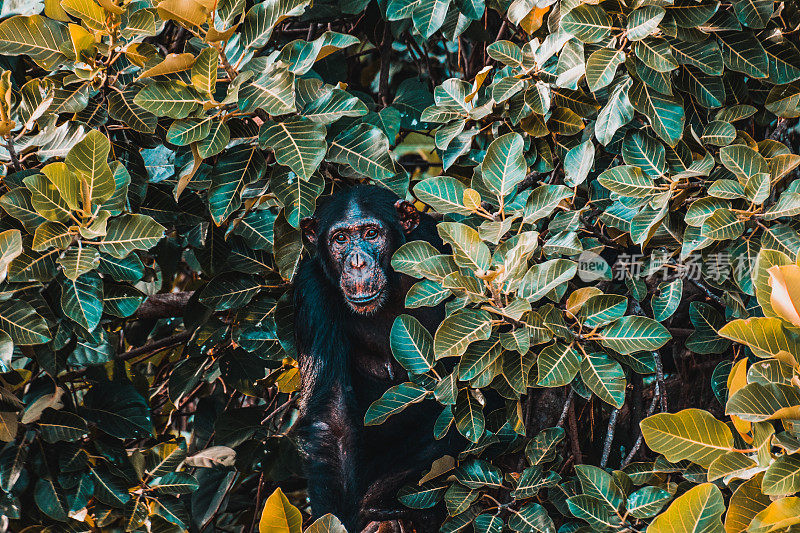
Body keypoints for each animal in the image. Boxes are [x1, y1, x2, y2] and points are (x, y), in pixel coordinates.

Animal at [294, 185, 456, 528]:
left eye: (371, 233)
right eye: (341, 239)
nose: (357, 262)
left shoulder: (444, 250)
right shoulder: (310, 289)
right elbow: (333, 417)